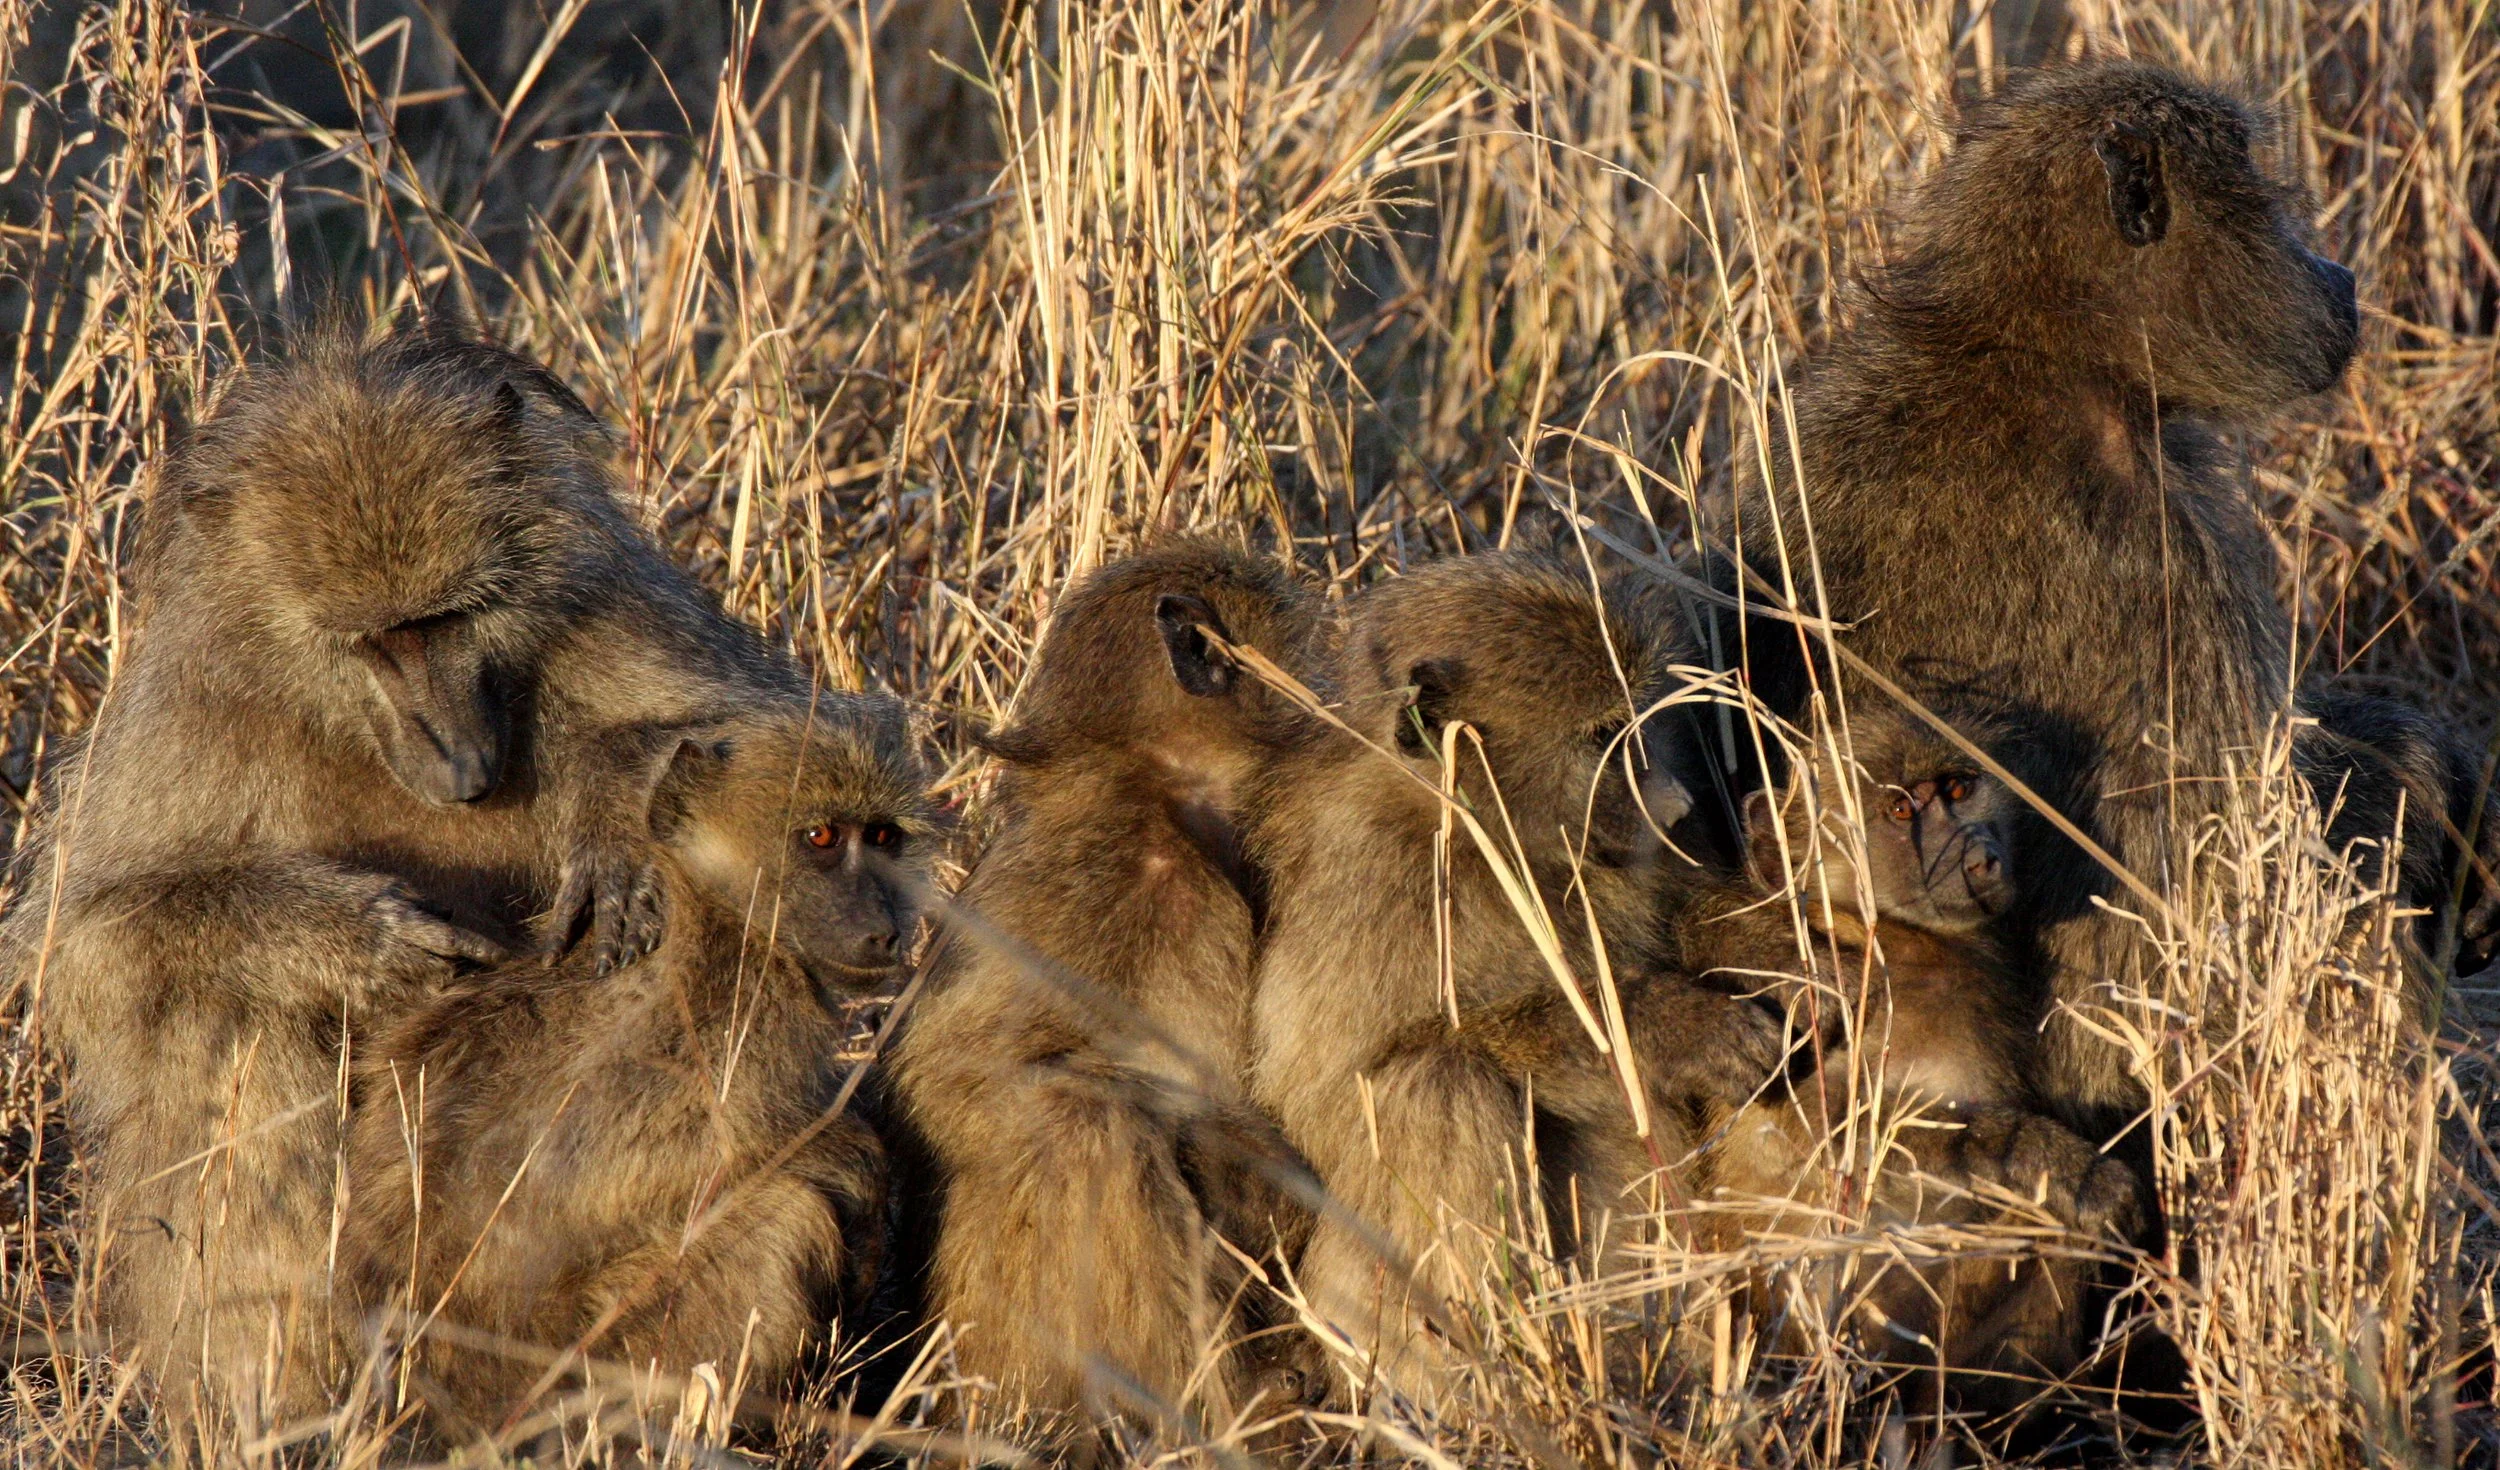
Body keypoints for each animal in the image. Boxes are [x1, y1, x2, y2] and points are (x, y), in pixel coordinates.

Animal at [0, 320, 808, 1432]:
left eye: (451, 616)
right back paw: (288, 1406)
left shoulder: (617, 622)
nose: (460, 762)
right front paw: (364, 938)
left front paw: (611, 825)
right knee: (236, 1015)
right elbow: (79, 944)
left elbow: (782, 759)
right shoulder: (195, 715)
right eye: (376, 641)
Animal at [340, 693, 938, 1439]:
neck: (709, 911)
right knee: (787, 1218)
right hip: (590, 1360)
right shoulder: (730, 1020)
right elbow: (642, 1172)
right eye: (821, 837)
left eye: (882, 838)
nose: (885, 929)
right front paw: (857, 1167)